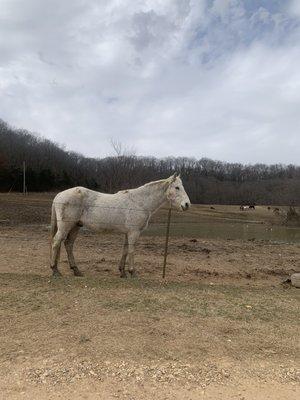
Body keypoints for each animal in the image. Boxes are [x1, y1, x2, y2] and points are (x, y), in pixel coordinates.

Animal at [49, 172, 190, 278]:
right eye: (177, 187)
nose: (187, 204)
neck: (140, 202)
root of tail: (59, 195)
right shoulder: (134, 232)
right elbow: (132, 250)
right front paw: (133, 272)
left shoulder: (128, 233)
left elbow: (125, 250)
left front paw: (122, 272)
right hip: (66, 226)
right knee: (56, 242)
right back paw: (55, 270)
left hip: (75, 226)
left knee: (68, 244)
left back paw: (76, 270)